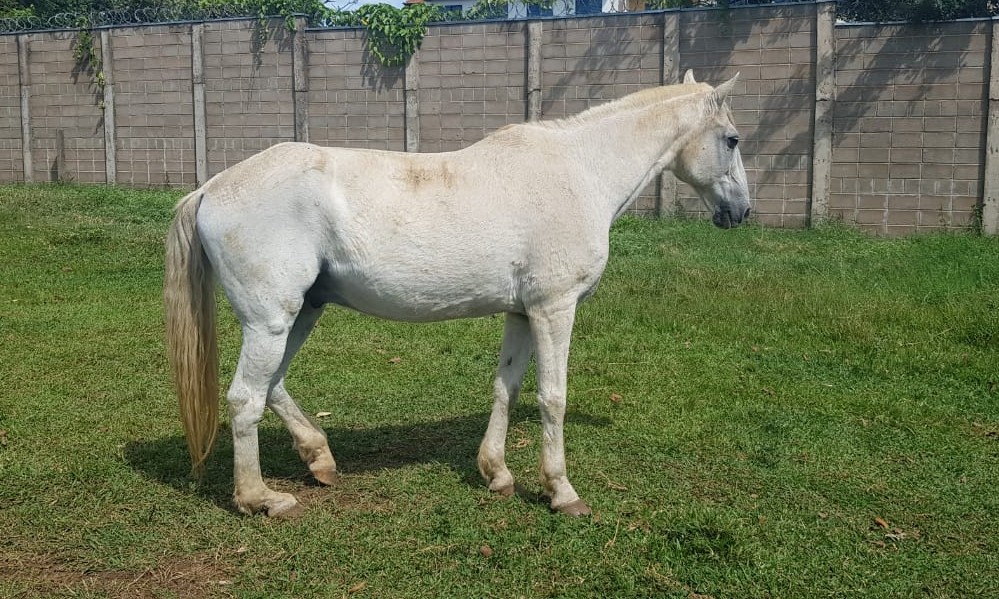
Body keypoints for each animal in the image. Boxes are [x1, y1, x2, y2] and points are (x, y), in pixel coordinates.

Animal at [164, 72, 752, 518]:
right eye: (732, 140)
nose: (742, 213)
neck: (578, 172)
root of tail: (209, 189)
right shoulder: (554, 309)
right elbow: (552, 397)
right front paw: (562, 492)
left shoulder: (522, 313)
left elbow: (505, 388)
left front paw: (497, 473)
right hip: (271, 321)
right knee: (245, 399)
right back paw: (260, 498)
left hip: (301, 312)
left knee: (273, 387)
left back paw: (320, 460)